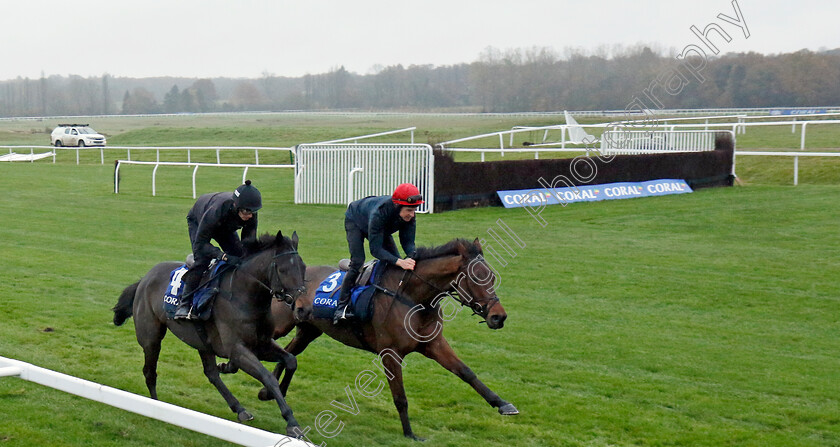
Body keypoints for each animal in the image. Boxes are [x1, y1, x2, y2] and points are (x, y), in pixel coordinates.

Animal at [111, 231, 306, 438]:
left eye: (303, 268)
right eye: (283, 270)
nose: (300, 305)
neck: (245, 295)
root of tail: (145, 279)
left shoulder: (261, 343)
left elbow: (291, 360)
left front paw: (267, 394)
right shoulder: (237, 349)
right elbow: (268, 377)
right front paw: (292, 423)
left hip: (202, 341)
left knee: (211, 374)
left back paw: (239, 409)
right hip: (151, 338)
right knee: (150, 371)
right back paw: (156, 407)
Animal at [266, 238, 516, 440]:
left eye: (492, 276)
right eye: (475, 278)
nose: (499, 316)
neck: (414, 298)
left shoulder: (433, 344)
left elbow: (466, 372)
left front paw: (503, 404)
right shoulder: (390, 353)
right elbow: (400, 396)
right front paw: (410, 433)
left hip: (308, 331)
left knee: (288, 352)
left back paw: (269, 390)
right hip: (280, 325)